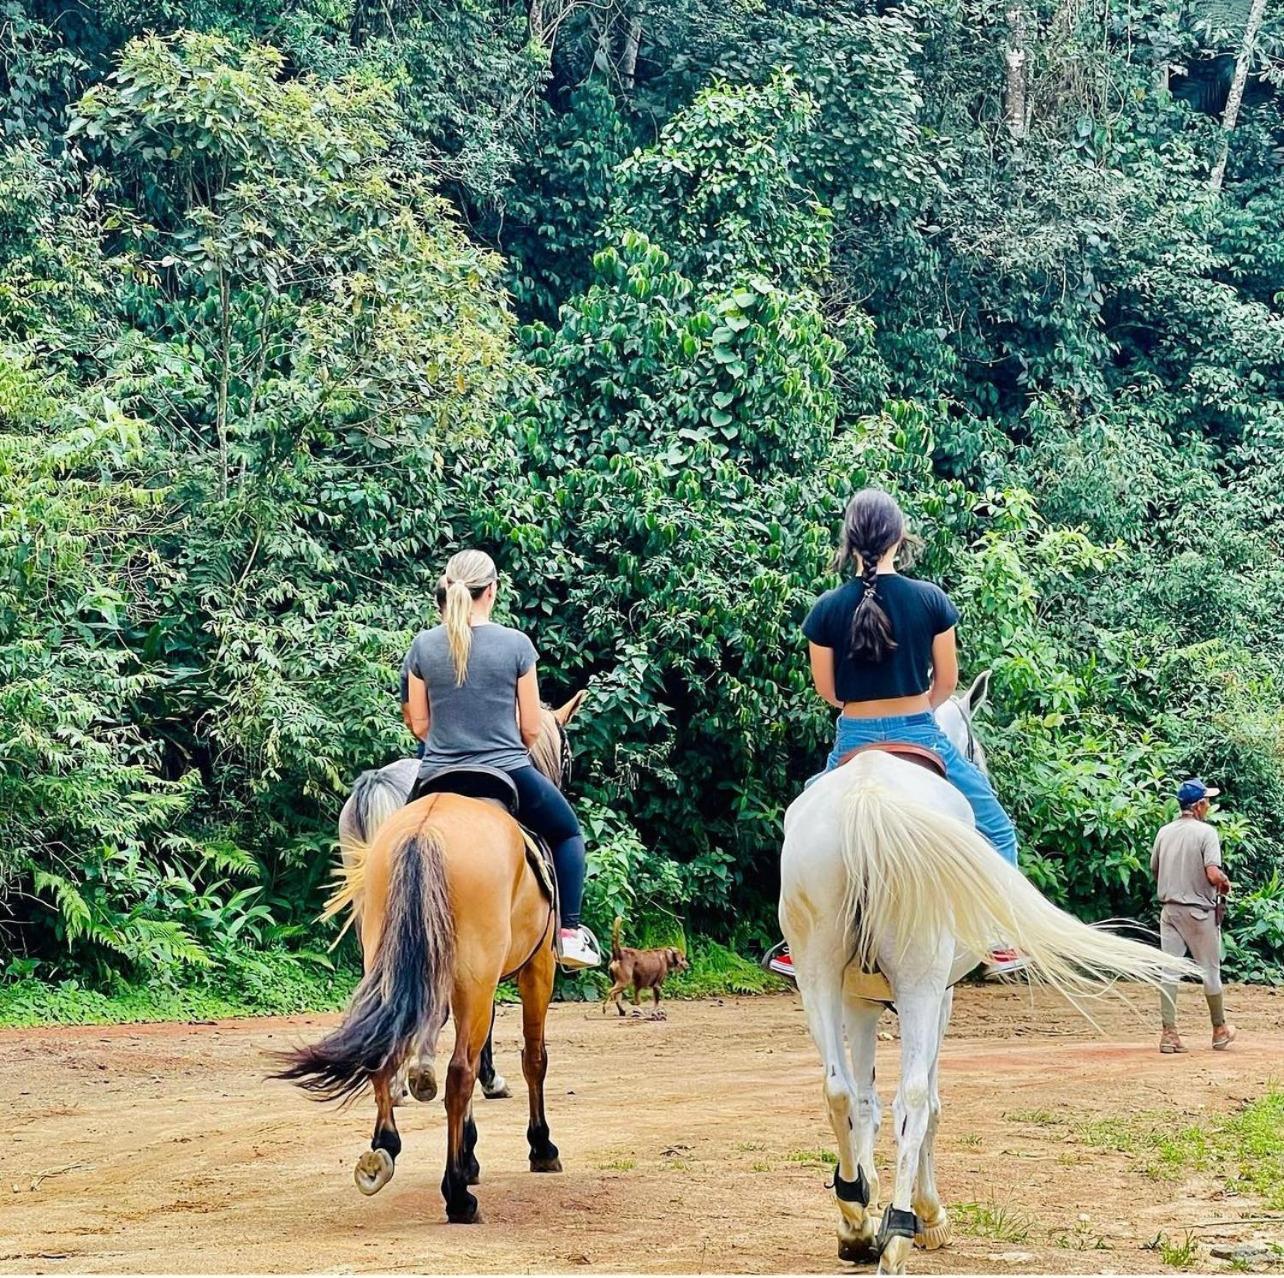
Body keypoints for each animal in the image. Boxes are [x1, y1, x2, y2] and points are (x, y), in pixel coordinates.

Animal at [281, 693, 588, 1222]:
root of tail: (424, 830)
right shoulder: (534, 970)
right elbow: (532, 1057)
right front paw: (537, 1146)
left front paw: (470, 1151)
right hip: (476, 973)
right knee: (457, 1072)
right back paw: (457, 1194)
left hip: (391, 958)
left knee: (387, 1041)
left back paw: (385, 1146)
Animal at [775, 673, 1196, 1274]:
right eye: (976, 746)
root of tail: (866, 798)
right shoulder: (940, 998)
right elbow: (923, 1104)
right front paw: (925, 1216)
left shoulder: (860, 1000)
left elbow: (863, 1101)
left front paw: (862, 1208)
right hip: (921, 985)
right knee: (913, 1098)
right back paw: (901, 1233)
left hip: (818, 975)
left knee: (837, 1089)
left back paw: (858, 1223)